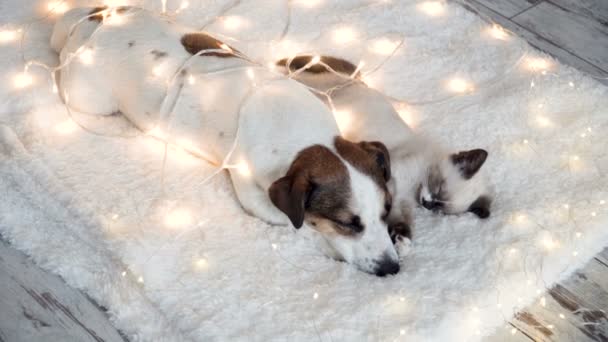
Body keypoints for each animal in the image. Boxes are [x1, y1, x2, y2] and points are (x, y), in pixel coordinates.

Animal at [51, 7, 404, 276]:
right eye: (347, 224)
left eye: (386, 209)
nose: (392, 268)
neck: (305, 137)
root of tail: (96, 21)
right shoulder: (254, 195)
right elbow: (296, 224)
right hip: (90, 99)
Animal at [276, 56, 494, 242]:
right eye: (438, 187)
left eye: (439, 207)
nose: (427, 203)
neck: (415, 186)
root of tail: (355, 80)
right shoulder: (393, 180)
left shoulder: (402, 199)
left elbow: (401, 218)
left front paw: (401, 239)